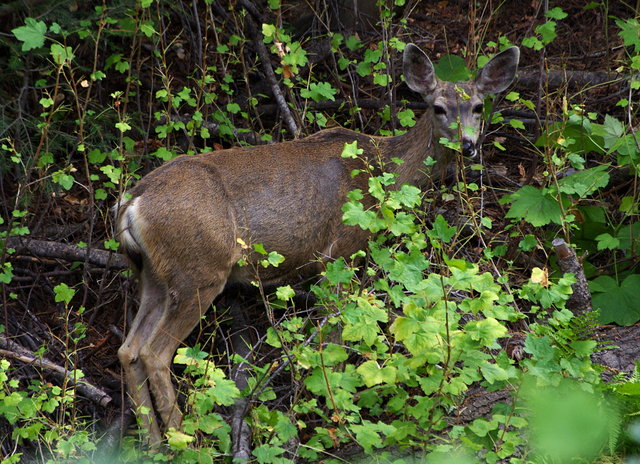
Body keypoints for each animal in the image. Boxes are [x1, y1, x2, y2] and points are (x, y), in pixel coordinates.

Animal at [112, 44, 516, 446]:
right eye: (438, 107)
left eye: (478, 106)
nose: (467, 145)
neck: (385, 168)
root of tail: (133, 204)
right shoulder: (339, 251)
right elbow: (333, 339)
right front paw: (332, 408)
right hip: (199, 270)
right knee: (154, 353)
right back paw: (182, 440)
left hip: (154, 276)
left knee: (128, 349)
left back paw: (152, 443)